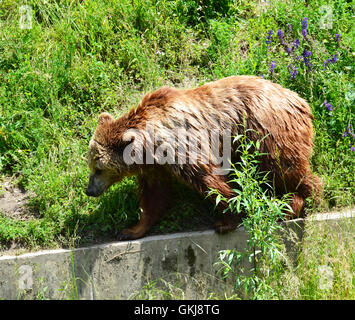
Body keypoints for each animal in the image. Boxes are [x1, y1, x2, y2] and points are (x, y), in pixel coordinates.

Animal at [86, 75, 322, 240]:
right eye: (91, 167)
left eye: (99, 169)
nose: (89, 191)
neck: (151, 145)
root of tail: (301, 101)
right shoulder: (156, 166)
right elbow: (154, 195)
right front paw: (131, 229)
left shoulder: (183, 145)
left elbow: (208, 179)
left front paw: (225, 220)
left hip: (267, 133)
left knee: (283, 169)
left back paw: (301, 200)